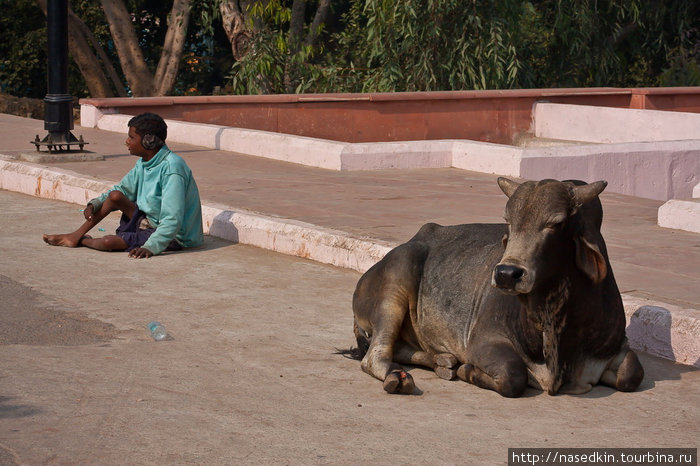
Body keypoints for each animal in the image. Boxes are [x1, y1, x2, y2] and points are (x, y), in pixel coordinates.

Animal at [352, 178, 644, 396]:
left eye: (556, 223)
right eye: (509, 221)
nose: (506, 273)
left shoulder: (615, 348)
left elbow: (633, 374)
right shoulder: (483, 342)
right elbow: (512, 375)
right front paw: (467, 370)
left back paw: (443, 361)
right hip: (395, 283)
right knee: (375, 356)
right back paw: (400, 377)